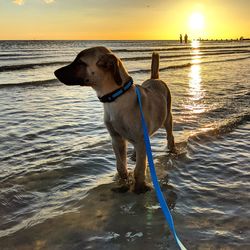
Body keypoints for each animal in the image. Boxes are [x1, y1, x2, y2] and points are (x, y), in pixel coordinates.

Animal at [54, 47, 176, 195]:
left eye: (80, 63)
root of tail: (155, 79)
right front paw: (124, 182)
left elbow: (139, 170)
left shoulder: (140, 139)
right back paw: (134, 156)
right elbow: (121, 166)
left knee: (170, 136)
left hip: (167, 119)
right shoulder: (116, 139)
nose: (55, 72)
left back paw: (172, 150)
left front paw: (139, 188)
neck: (116, 97)